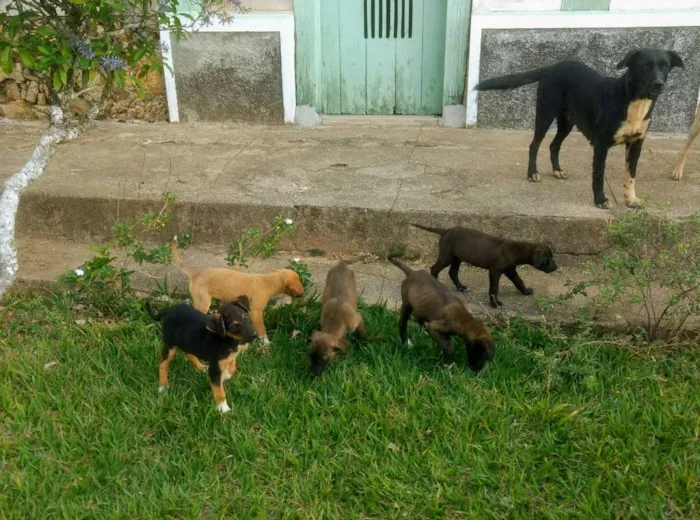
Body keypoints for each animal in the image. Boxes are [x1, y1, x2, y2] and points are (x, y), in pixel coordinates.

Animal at [172, 237, 304, 344]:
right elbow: (262, 329)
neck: (269, 281)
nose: (302, 294)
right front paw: (266, 343)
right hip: (203, 302)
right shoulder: (256, 311)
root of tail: (195, 274)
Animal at [410, 223, 556, 308]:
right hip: (447, 257)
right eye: (548, 259)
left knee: (452, 272)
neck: (515, 251)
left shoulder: (510, 270)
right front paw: (495, 304)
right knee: (434, 269)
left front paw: (525, 291)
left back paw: (461, 287)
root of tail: (445, 231)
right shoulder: (495, 271)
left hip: (457, 258)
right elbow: (494, 288)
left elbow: (519, 281)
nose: (556, 267)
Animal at [476, 48, 684, 209]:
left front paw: (631, 199)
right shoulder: (601, 145)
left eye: (665, 66)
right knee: (534, 145)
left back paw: (557, 170)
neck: (635, 102)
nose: (659, 84)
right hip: (545, 114)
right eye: (645, 66)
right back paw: (532, 173)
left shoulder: (636, 144)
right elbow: (599, 175)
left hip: (567, 122)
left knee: (554, 145)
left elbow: (631, 175)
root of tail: (552, 66)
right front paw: (600, 200)